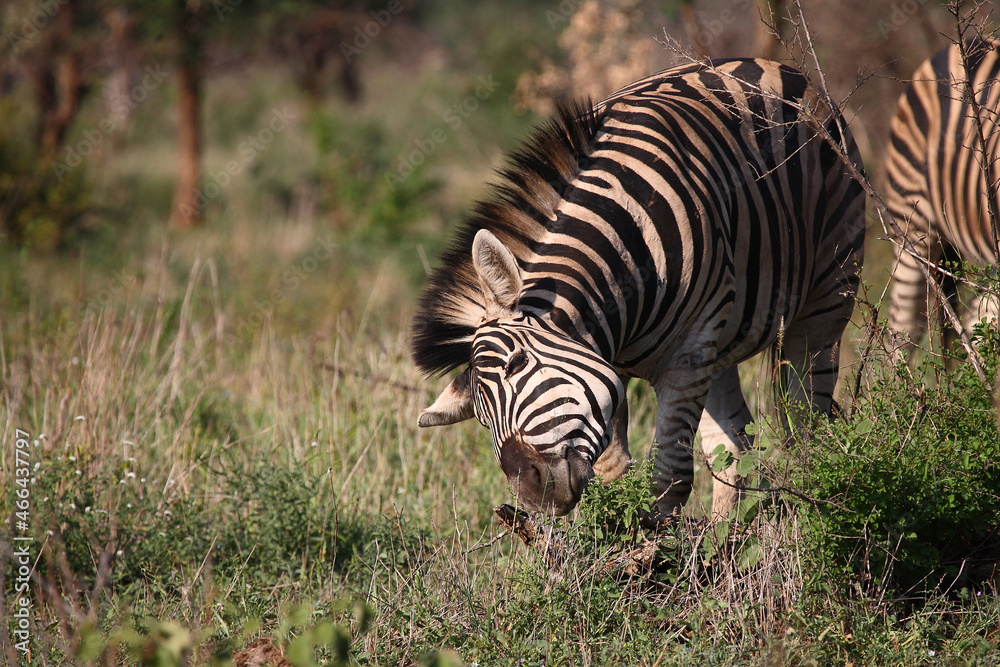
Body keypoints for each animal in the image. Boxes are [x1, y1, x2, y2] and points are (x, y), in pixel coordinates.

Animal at [411, 59, 865, 519]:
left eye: (517, 363)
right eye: (481, 417)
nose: (533, 495)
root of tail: (769, 64)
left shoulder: (686, 354)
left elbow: (668, 478)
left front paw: (655, 539)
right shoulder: (613, 365)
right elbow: (615, 474)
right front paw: (617, 534)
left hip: (828, 297)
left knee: (809, 426)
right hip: (719, 348)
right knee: (733, 447)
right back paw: (728, 536)